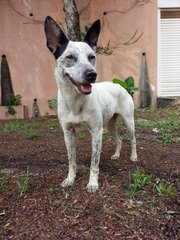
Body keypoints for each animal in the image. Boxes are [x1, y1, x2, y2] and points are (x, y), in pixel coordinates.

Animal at [44, 15, 137, 193]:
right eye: (70, 57)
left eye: (91, 56)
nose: (92, 75)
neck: (75, 101)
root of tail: (120, 85)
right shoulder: (68, 133)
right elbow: (71, 160)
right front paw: (70, 179)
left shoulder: (96, 132)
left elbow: (94, 162)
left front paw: (93, 183)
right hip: (110, 124)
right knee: (119, 139)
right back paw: (116, 155)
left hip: (128, 121)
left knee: (133, 139)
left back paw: (134, 157)